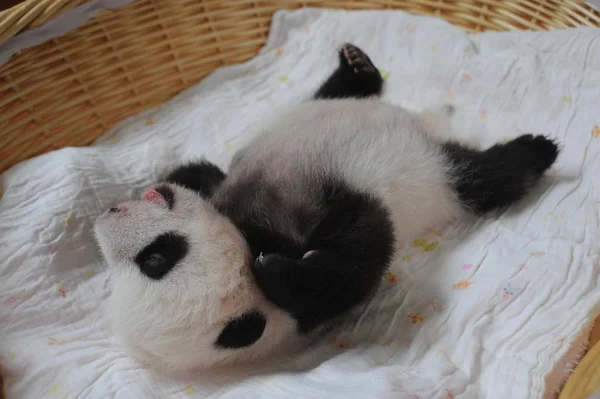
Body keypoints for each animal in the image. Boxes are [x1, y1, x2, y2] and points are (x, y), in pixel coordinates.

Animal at [92, 43, 556, 372]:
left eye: (155, 257)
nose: (106, 217)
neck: (245, 235)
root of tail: (428, 123)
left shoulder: (246, 191)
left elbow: (205, 174)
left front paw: (178, 178)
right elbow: (365, 240)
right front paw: (280, 270)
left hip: (311, 111)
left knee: (330, 94)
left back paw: (356, 66)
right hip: (440, 176)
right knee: (481, 177)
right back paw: (535, 151)